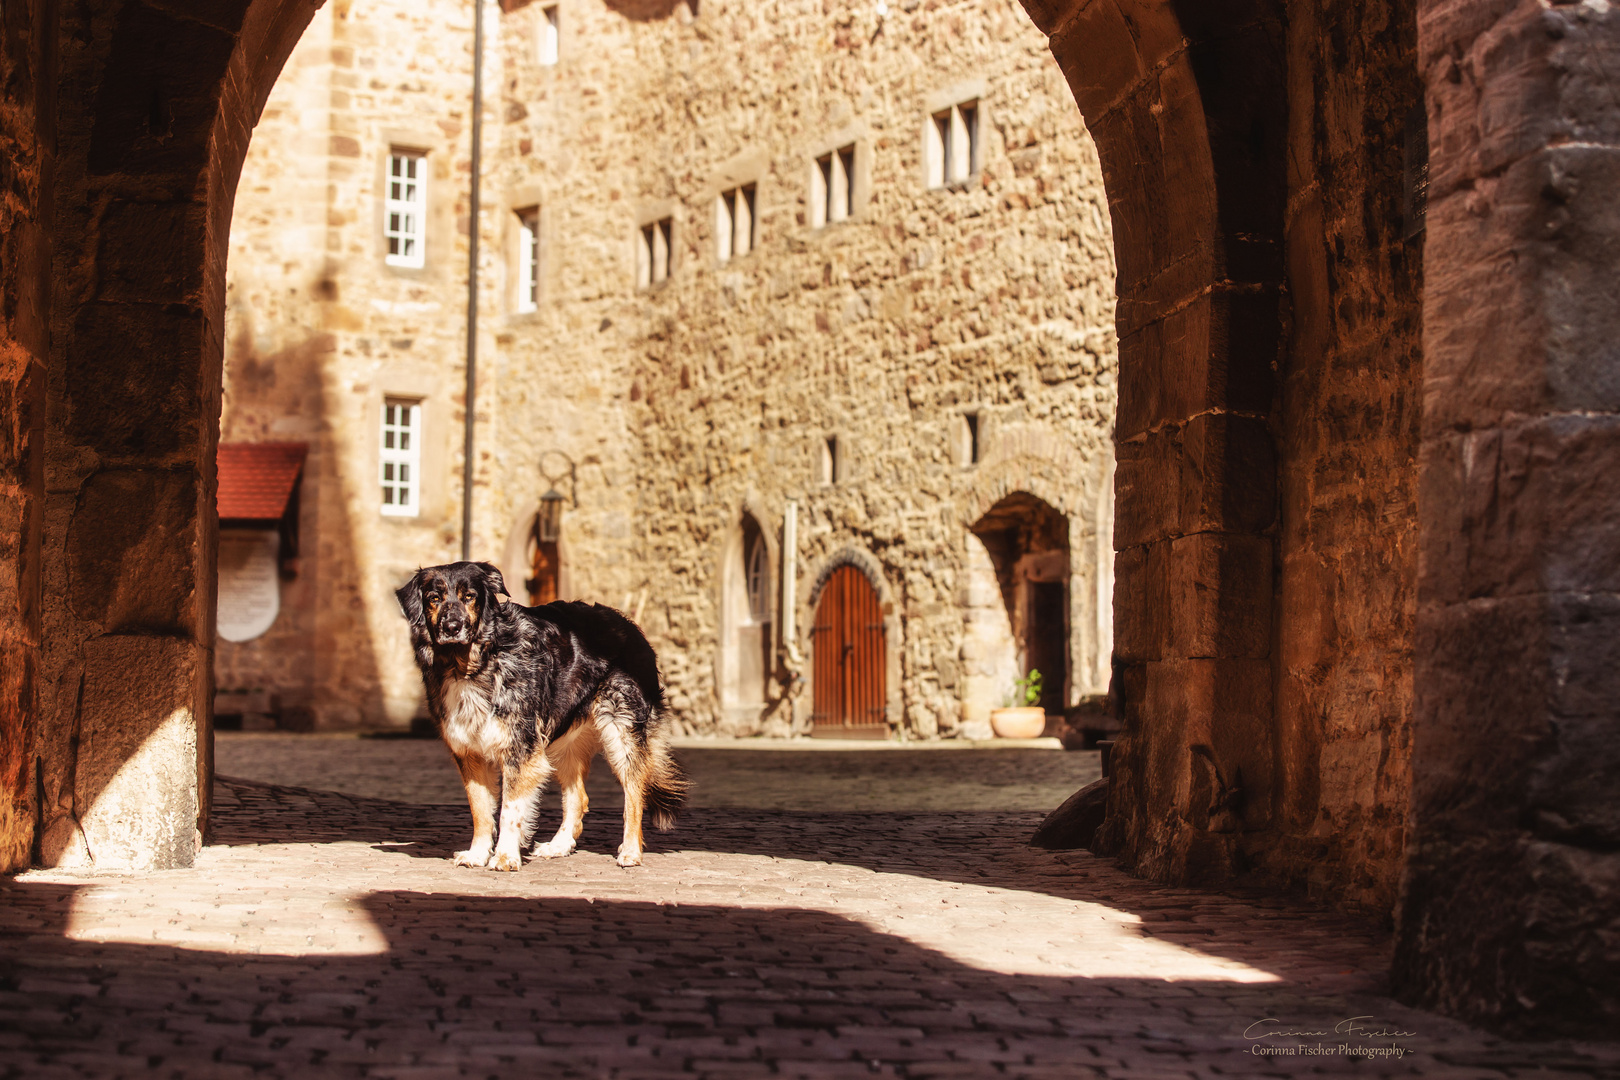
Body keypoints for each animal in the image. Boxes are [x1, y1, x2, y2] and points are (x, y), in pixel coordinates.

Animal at [403, 563, 690, 874]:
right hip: (564, 744)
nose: (452, 627)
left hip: (621, 731)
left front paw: (505, 856)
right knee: (578, 796)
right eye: (434, 598)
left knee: (635, 792)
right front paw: (478, 854)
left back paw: (631, 851)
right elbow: (480, 810)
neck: (472, 664)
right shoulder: (469, 753)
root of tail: (628, 625)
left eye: (469, 597)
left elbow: (509, 810)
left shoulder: (521, 751)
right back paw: (559, 845)